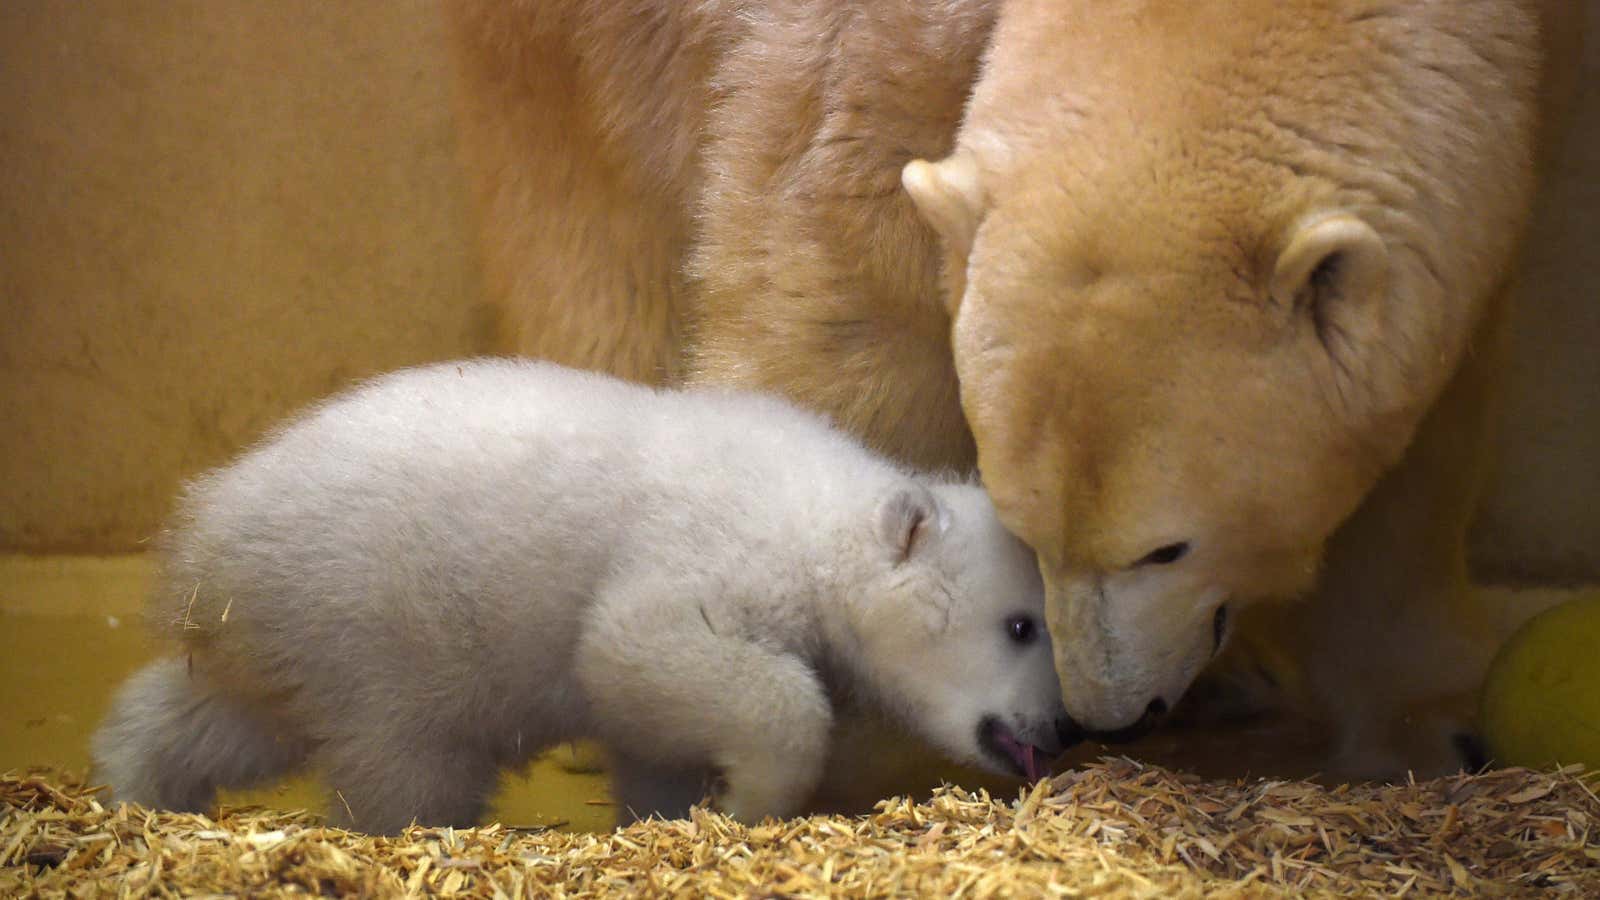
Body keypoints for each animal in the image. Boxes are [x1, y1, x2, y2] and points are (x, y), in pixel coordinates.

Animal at [444, 0, 1580, 771]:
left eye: (1167, 547)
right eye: (1025, 528)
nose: (1108, 713)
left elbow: (1417, 444)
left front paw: (1429, 730)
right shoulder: (872, 70)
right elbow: (837, 321)